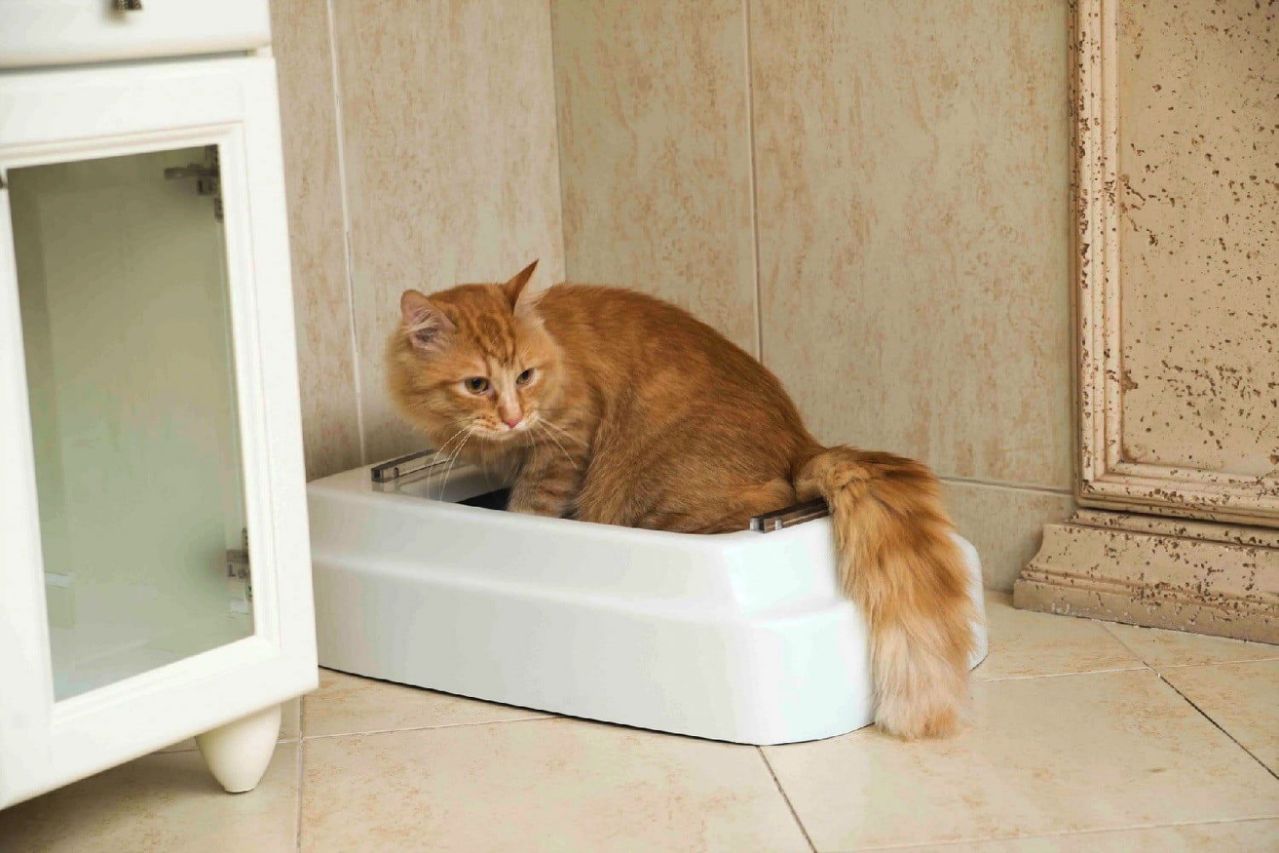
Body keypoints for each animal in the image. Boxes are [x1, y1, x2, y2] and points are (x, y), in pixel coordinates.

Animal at [387, 260, 977, 739]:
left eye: (525, 376)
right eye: (477, 385)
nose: (512, 416)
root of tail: (804, 444)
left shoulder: (565, 442)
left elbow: (532, 504)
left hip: (656, 499)